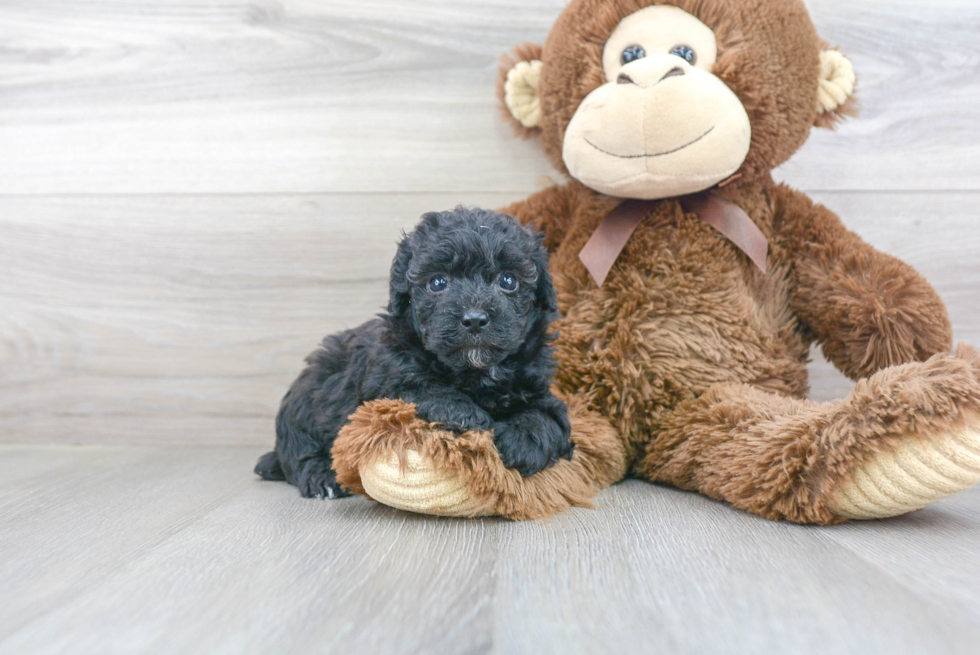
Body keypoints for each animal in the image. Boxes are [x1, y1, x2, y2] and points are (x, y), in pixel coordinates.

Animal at [255, 208, 576, 500]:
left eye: (508, 281)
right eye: (438, 282)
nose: (474, 319)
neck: (475, 372)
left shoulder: (539, 389)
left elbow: (547, 416)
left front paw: (522, 440)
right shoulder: (386, 381)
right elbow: (421, 390)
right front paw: (466, 415)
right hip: (305, 402)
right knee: (299, 452)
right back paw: (322, 477)